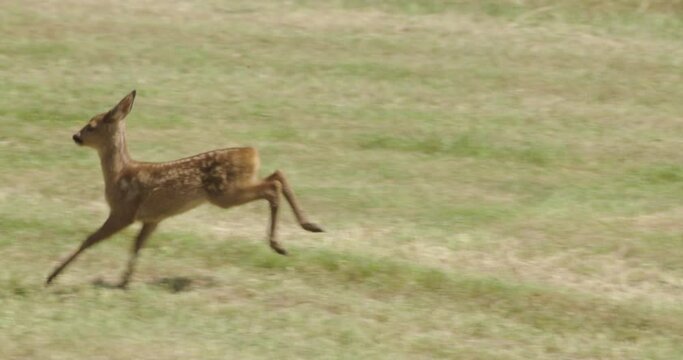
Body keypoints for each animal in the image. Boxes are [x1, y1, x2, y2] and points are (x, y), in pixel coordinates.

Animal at [46, 91, 324, 288]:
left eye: (91, 125)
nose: (75, 136)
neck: (119, 174)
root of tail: (251, 152)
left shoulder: (124, 211)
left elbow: (90, 239)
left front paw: (52, 276)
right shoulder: (152, 218)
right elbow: (137, 245)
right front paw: (124, 282)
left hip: (224, 193)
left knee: (272, 186)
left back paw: (279, 244)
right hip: (235, 186)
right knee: (278, 175)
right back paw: (310, 225)